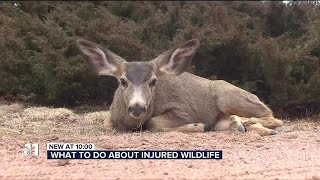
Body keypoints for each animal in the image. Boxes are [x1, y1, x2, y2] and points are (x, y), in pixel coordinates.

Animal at [76, 38, 284, 136]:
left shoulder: (182, 110)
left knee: (274, 117)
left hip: (226, 96)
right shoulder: (110, 117)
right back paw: (238, 124)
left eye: (153, 81)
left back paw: (245, 124)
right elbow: (105, 123)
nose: (137, 107)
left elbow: (153, 123)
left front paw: (196, 125)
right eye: (122, 81)